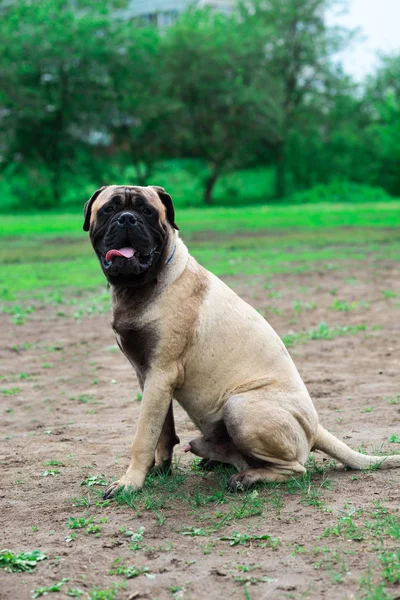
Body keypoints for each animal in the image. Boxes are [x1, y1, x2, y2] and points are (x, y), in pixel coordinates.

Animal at [83, 184, 398, 496]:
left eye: (147, 211)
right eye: (109, 209)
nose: (127, 218)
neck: (141, 287)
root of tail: (317, 426)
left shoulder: (160, 375)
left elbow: (143, 437)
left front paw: (129, 483)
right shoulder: (147, 376)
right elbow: (162, 433)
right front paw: (160, 469)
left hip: (240, 407)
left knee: (296, 469)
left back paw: (248, 478)